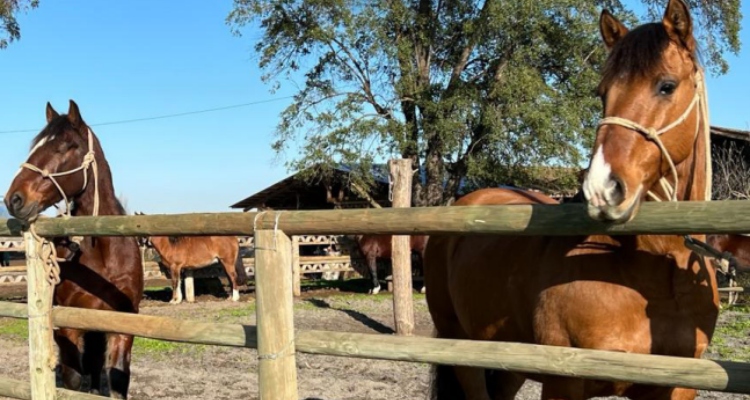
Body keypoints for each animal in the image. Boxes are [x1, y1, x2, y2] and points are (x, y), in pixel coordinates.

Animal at [4, 100, 143, 396]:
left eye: (67, 146)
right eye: (34, 145)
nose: (13, 199)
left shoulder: (122, 326)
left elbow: (117, 382)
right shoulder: (69, 327)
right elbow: (74, 382)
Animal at [426, 1, 720, 398]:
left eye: (667, 86)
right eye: (602, 92)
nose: (602, 188)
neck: (656, 274)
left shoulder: (677, 386)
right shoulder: (563, 381)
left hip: (508, 362)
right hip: (461, 350)